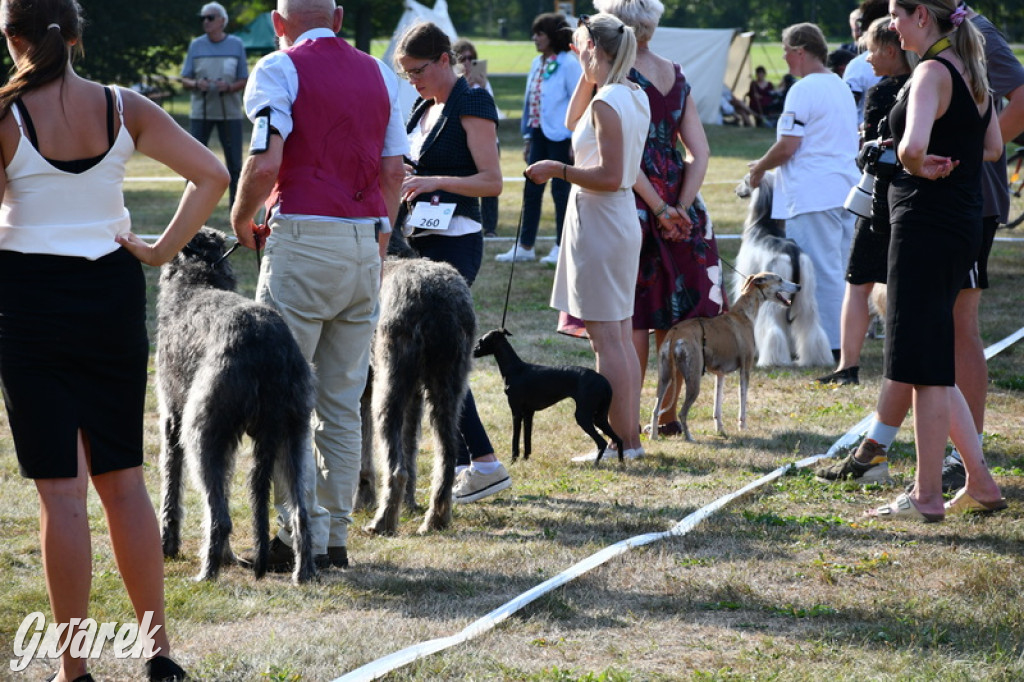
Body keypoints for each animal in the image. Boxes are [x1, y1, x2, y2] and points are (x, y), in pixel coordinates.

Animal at [155, 225, 313, 581]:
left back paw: (207, 572)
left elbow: (171, 481)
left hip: (202, 430)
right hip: (294, 434)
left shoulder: (173, 417)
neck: (198, 280)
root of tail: (269, 347)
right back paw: (304, 573)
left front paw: (166, 545)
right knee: (301, 512)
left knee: (220, 517)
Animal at [364, 251, 475, 532]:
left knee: (396, 469)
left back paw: (382, 522)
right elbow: (410, 447)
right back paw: (436, 518)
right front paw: (409, 503)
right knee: (446, 455)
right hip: (448, 386)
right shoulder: (414, 397)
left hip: (388, 388)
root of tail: (438, 302)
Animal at [473, 327, 622, 462]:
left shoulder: (516, 412)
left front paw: (513, 460)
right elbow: (527, 438)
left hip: (583, 416)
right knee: (618, 439)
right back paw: (621, 463)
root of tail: (604, 382)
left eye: (481, 341)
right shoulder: (528, 413)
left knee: (602, 443)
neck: (515, 369)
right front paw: (525, 458)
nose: (473, 351)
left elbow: (515, 438)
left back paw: (596, 463)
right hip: (599, 418)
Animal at [651, 270, 802, 440]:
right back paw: (689, 437)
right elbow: (743, 401)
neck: (743, 314)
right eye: (779, 279)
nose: (799, 286)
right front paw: (742, 426)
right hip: (693, 379)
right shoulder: (745, 369)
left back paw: (654, 436)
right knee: (682, 413)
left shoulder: (720, 374)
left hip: (664, 377)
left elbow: (717, 406)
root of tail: (675, 334)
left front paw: (720, 429)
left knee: (655, 409)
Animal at [737, 171, 831, 366]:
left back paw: (772, 360)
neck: (764, 225)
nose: (737, 191)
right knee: (812, 326)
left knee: (772, 326)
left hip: (774, 297)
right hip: (805, 294)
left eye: (744, 180)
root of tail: (791, 251)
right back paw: (816, 359)